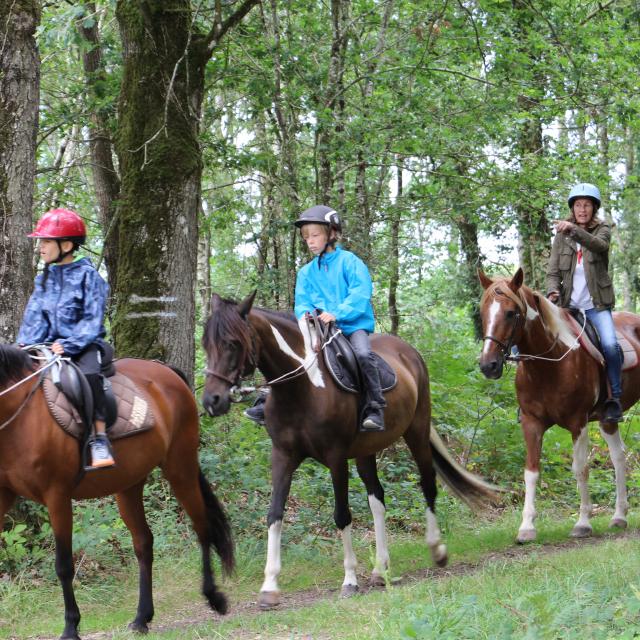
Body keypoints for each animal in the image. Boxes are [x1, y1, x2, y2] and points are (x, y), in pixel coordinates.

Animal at [0, 348, 234, 640]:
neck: (21, 416)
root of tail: (165, 371)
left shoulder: (57, 497)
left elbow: (64, 566)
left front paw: (71, 627)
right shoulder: (3, 495)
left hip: (180, 468)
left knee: (202, 528)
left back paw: (214, 597)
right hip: (129, 485)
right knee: (143, 543)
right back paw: (142, 618)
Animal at [478, 268, 636, 544]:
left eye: (511, 313)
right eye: (482, 312)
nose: (489, 365)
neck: (549, 364)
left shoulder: (578, 423)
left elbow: (580, 468)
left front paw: (583, 523)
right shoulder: (531, 423)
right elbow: (531, 472)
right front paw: (526, 527)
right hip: (608, 420)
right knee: (618, 456)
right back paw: (619, 516)